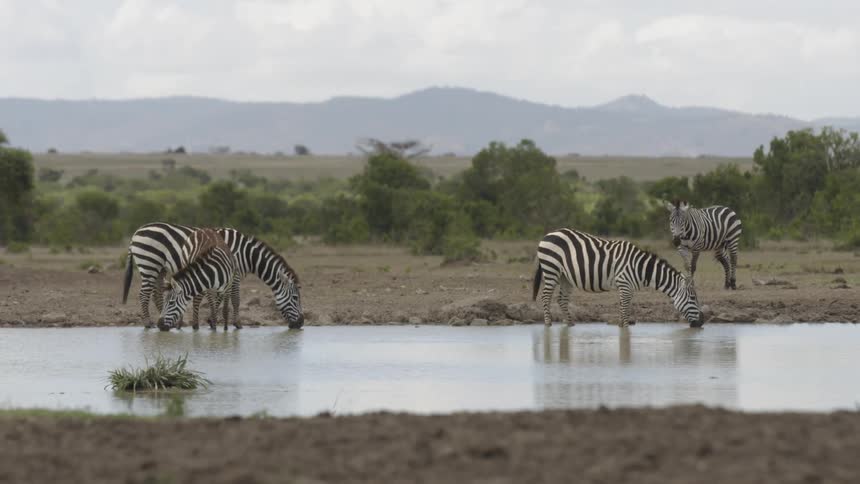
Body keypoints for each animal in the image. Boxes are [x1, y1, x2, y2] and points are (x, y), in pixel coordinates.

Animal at [122, 222, 304, 329]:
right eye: (295, 298)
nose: (301, 323)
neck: (245, 253)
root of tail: (136, 231)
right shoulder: (234, 274)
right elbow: (235, 299)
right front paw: (236, 324)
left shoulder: (224, 274)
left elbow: (221, 298)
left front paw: (216, 320)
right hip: (149, 263)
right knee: (143, 294)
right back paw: (148, 323)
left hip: (159, 269)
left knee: (157, 293)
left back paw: (168, 319)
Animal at [533, 228, 704, 328]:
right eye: (692, 298)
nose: (702, 322)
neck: (641, 268)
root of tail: (548, 234)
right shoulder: (624, 284)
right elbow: (625, 309)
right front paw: (625, 328)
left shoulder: (627, 287)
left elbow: (624, 308)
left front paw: (621, 326)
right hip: (551, 268)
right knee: (545, 296)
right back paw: (548, 324)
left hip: (565, 276)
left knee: (562, 299)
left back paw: (570, 324)